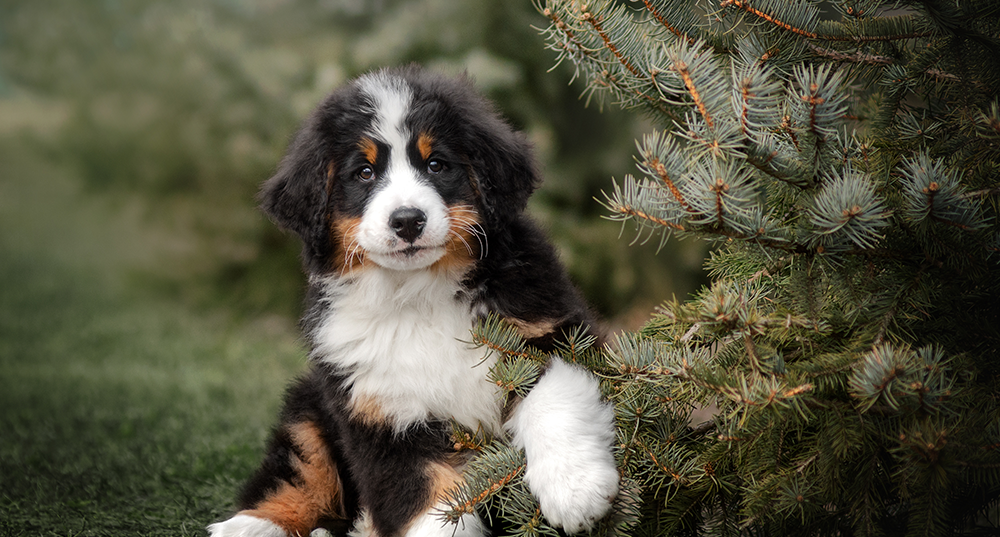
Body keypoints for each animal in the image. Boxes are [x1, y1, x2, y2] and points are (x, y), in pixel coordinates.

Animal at [210, 66, 616, 536]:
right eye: (364, 173)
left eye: (436, 164)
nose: (407, 221)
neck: (420, 294)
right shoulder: (380, 414)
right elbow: (428, 501)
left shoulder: (551, 332)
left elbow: (553, 399)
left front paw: (575, 490)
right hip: (308, 406)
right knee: (300, 471)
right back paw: (248, 525)